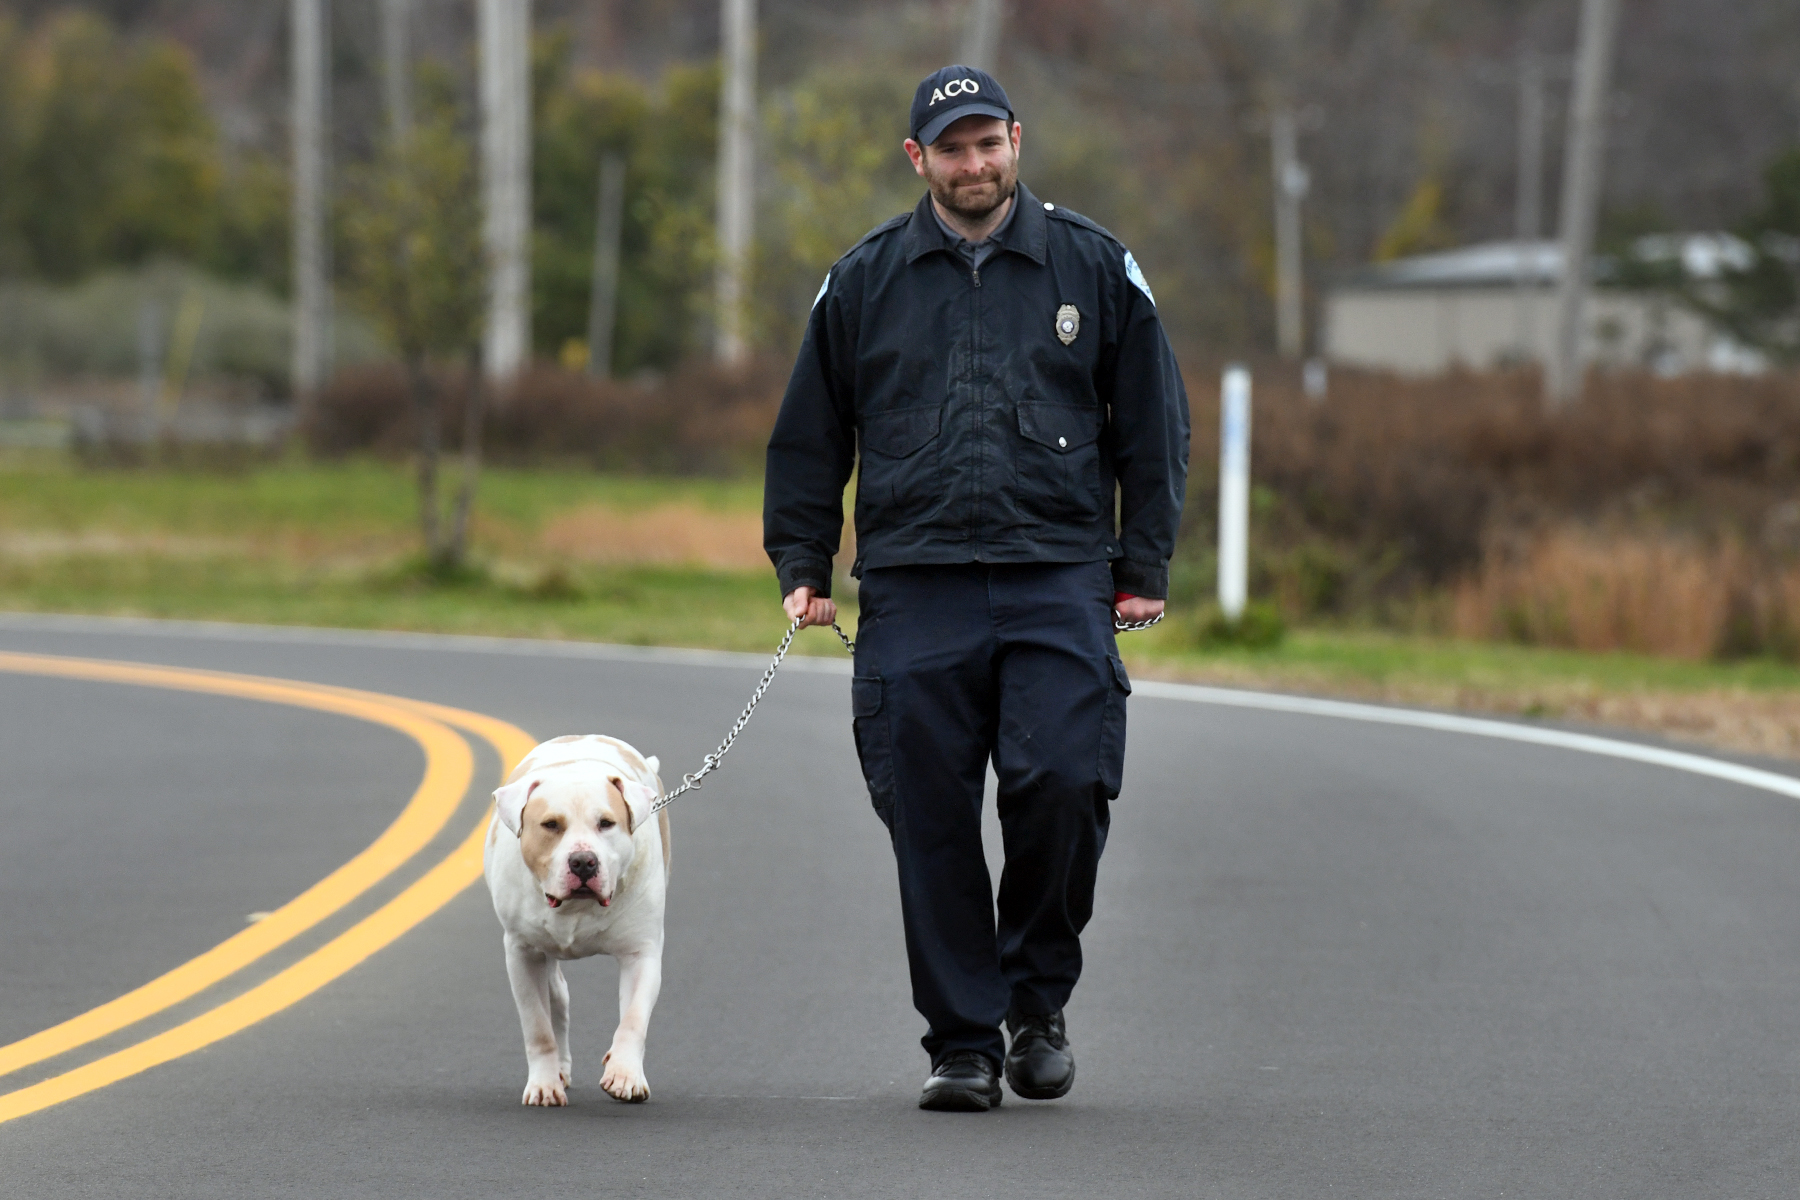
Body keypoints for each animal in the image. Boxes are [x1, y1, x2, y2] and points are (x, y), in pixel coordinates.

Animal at [482, 734, 673, 1108]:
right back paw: (559, 1070)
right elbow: (538, 1027)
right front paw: (544, 1084)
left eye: (606, 823)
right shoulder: (522, 953)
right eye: (551, 825)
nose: (583, 861)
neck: (576, 909)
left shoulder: (641, 952)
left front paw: (625, 1074)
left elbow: (633, 1019)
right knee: (557, 997)